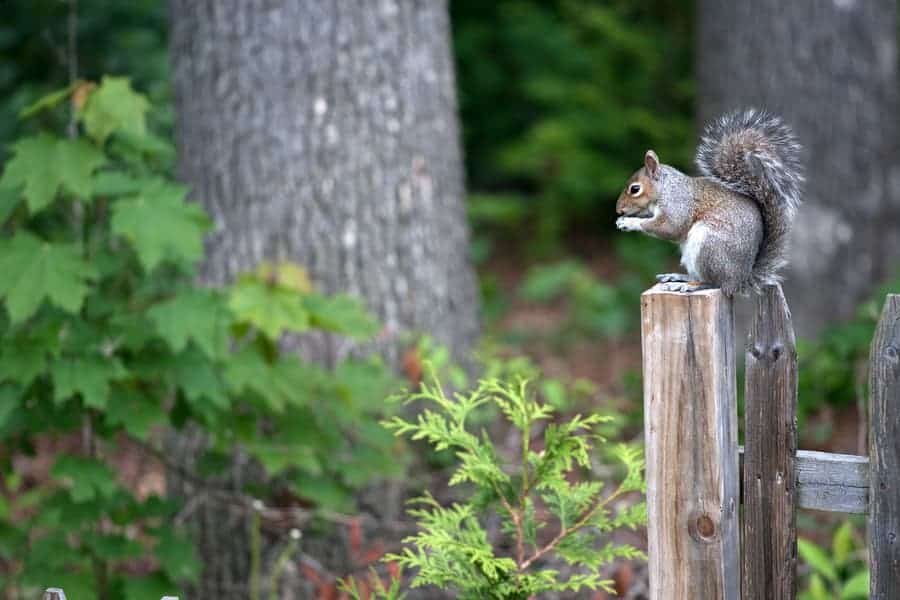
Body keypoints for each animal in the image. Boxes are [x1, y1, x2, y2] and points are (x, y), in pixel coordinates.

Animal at [616, 109, 804, 296]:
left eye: (635, 189)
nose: (619, 210)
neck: (665, 188)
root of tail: (739, 281)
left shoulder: (678, 204)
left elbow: (670, 227)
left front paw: (629, 222)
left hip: (709, 246)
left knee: (714, 283)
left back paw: (690, 285)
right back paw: (679, 277)